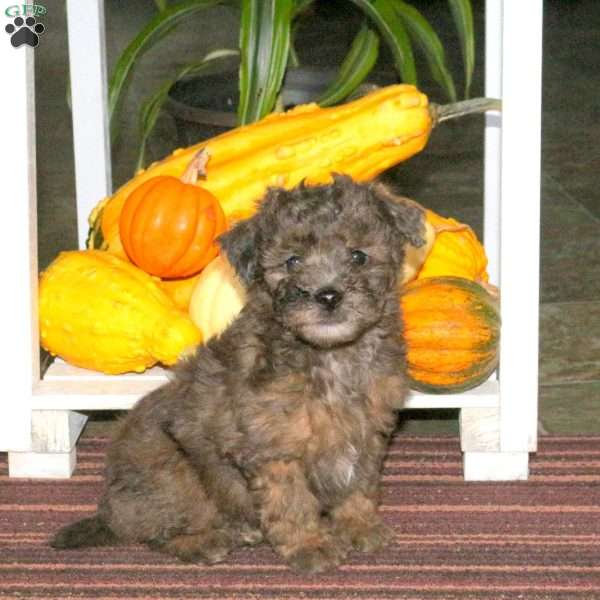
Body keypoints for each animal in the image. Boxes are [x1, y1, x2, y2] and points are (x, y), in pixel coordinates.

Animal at [51, 173, 426, 572]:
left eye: (358, 256)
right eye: (292, 261)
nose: (327, 296)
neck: (330, 357)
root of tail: (110, 511)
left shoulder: (366, 430)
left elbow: (359, 483)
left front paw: (359, 526)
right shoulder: (275, 447)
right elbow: (292, 501)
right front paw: (310, 546)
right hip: (175, 470)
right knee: (161, 531)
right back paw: (208, 541)